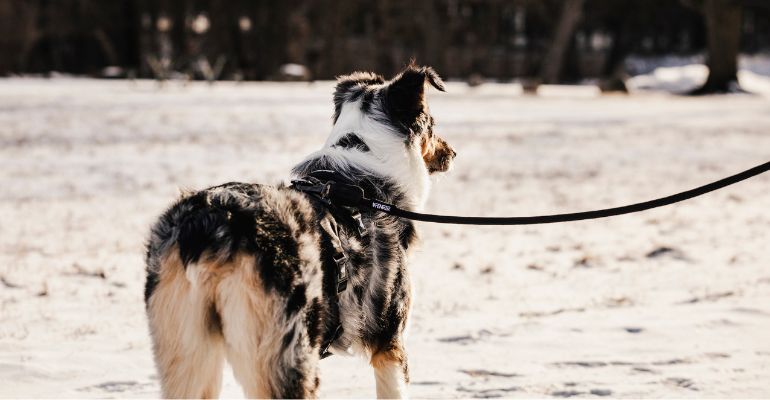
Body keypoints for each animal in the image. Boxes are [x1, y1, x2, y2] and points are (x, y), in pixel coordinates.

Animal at [143, 64, 452, 398]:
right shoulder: (388, 341)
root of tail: (210, 227)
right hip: (287, 354)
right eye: (432, 125)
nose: (452, 153)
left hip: (187, 354)